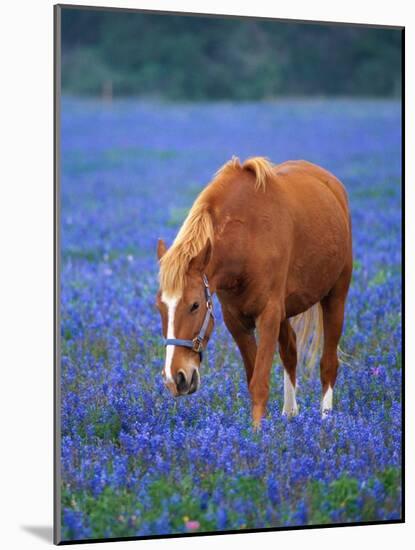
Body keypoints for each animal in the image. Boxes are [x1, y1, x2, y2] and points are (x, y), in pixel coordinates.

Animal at [156, 157, 354, 430]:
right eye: (160, 307)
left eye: (195, 305)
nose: (175, 379)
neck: (246, 238)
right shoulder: (237, 320)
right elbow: (253, 378)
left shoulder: (268, 315)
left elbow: (260, 382)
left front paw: (257, 434)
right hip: (286, 311)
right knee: (290, 351)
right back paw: (290, 414)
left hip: (336, 297)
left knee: (328, 364)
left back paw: (326, 421)